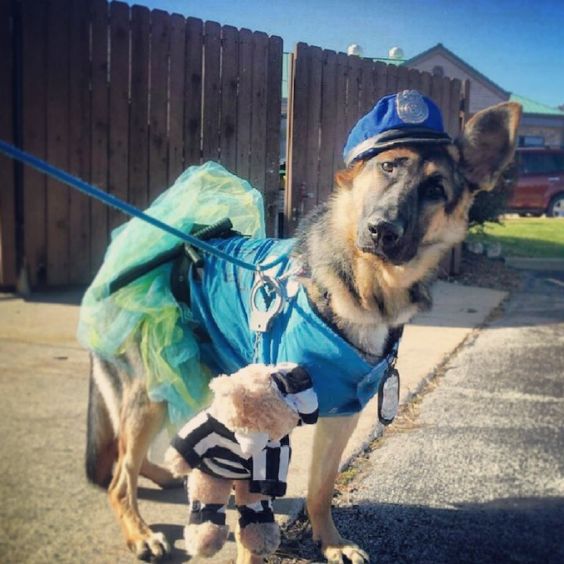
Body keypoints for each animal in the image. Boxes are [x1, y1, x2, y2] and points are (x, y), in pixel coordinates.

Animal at [86, 99, 524, 560]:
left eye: (436, 189)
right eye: (387, 166)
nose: (382, 230)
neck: (363, 291)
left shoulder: (342, 418)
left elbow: (320, 490)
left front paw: (330, 542)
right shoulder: (262, 423)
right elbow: (250, 519)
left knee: (130, 460)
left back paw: (164, 476)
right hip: (152, 393)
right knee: (119, 476)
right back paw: (140, 532)